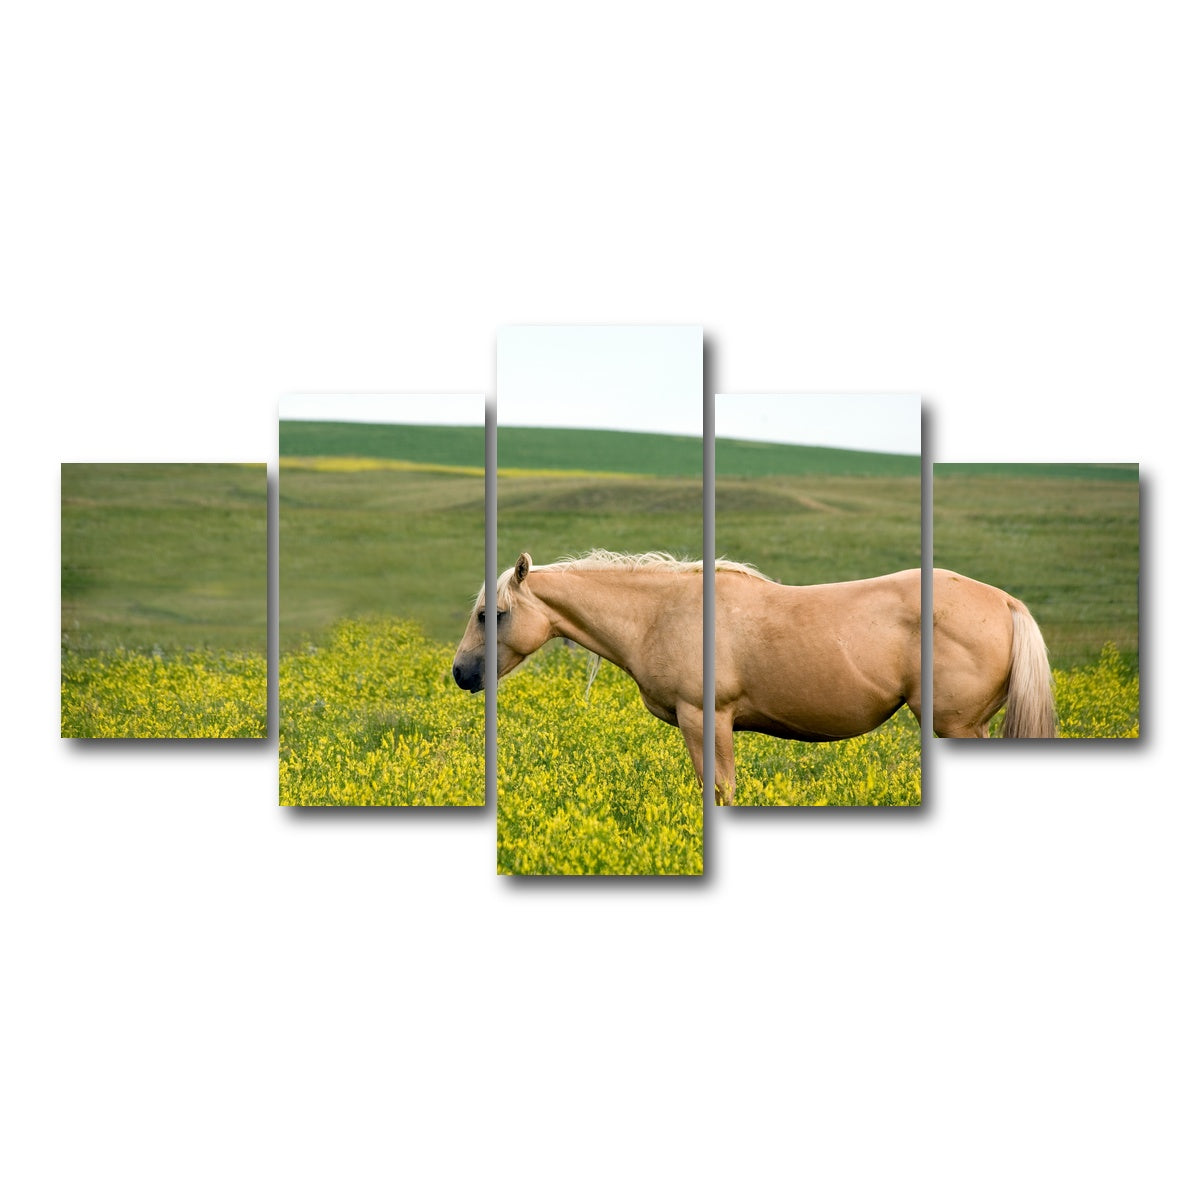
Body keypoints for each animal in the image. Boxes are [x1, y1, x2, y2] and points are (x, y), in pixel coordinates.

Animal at [452, 552, 1056, 805]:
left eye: (491, 613)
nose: (461, 673)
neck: (661, 612)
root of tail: (1005, 603)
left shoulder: (706, 720)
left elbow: (719, 790)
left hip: (957, 726)